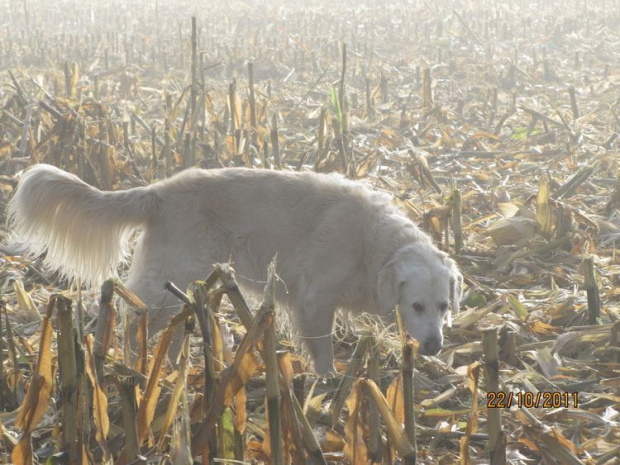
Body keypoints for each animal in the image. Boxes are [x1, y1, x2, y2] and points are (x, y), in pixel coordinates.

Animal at [6, 164, 460, 374]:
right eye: (416, 306)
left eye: (443, 306)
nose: (435, 347)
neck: (373, 242)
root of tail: (159, 192)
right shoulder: (315, 301)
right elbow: (324, 348)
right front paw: (330, 380)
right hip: (168, 281)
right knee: (133, 317)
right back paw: (133, 368)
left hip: (187, 287)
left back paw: (173, 368)